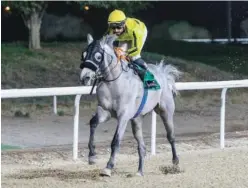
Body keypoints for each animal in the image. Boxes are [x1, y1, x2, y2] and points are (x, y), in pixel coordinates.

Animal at [79, 33, 182, 176]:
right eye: (83, 55)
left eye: (98, 56)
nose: (85, 77)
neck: (114, 83)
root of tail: (162, 72)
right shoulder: (105, 111)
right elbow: (93, 123)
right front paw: (92, 156)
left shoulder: (123, 116)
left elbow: (116, 141)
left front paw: (108, 167)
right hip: (137, 119)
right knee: (142, 146)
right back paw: (139, 171)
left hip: (165, 111)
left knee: (171, 136)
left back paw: (175, 161)